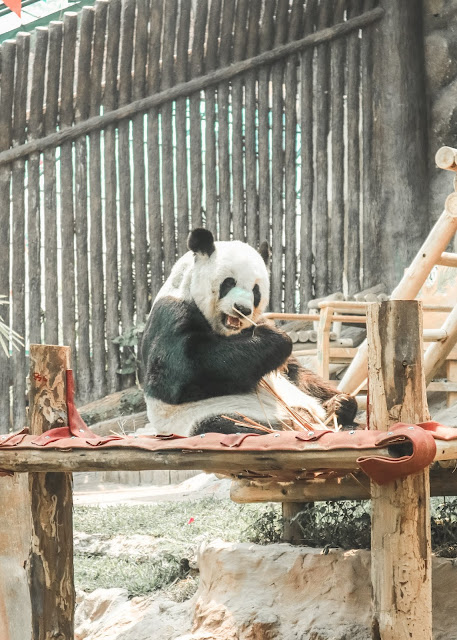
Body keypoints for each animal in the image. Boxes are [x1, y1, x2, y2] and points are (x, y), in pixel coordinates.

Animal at [140, 228, 356, 438]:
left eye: (256, 290)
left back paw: (340, 406)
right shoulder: (171, 314)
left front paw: (340, 402)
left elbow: (295, 372)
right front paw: (278, 340)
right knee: (224, 424)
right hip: (210, 415)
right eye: (229, 283)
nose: (242, 309)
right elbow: (179, 372)